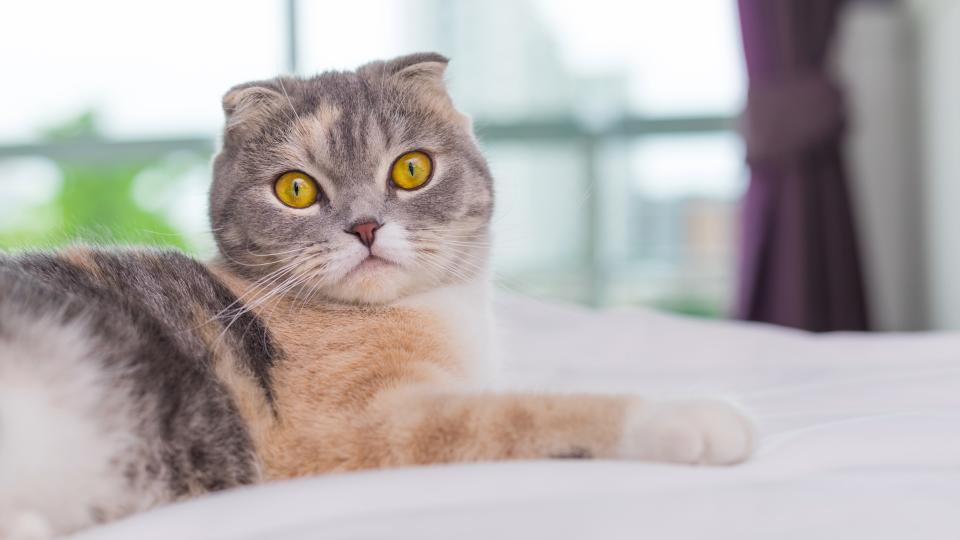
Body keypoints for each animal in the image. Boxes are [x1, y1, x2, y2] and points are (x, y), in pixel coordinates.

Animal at [0, 52, 752, 536]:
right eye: (295, 188)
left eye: (412, 170)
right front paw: (688, 417)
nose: (364, 226)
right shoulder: (369, 424)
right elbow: (538, 411)